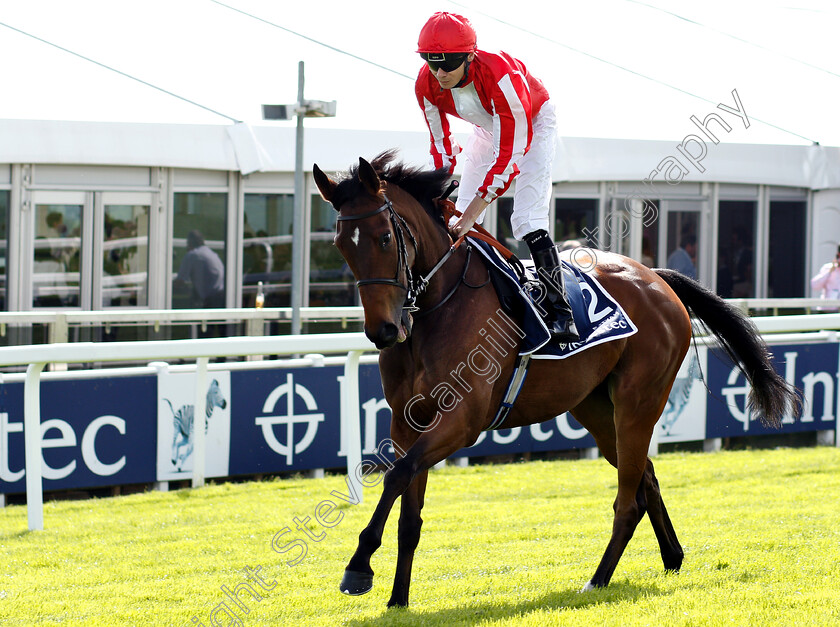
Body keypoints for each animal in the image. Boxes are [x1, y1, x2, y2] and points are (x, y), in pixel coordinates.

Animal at [312, 151, 796, 608]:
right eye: (340, 245)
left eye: (384, 236)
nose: (383, 330)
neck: (438, 309)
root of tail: (656, 278)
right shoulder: (407, 422)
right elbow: (409, 513)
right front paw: (398, 598)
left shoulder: (462, 422)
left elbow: (396, 476)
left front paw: (358, 565)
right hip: (596, 408)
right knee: (647, 476)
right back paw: (672, 556)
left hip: (638, 403)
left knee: (628, 500)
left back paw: (598, 579)